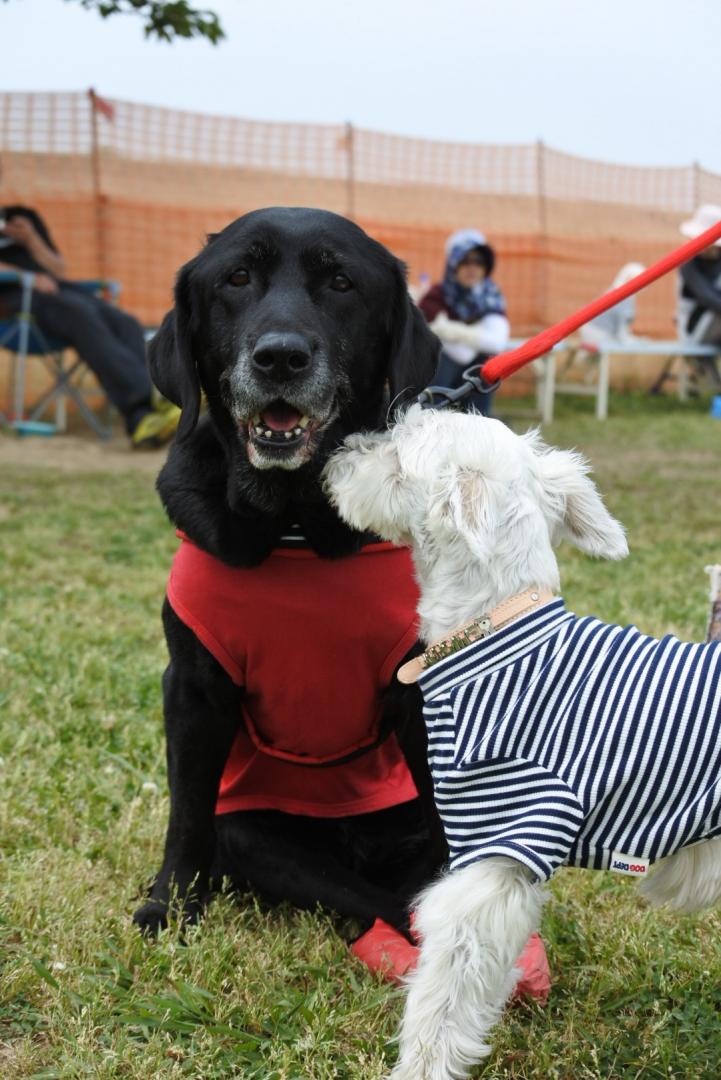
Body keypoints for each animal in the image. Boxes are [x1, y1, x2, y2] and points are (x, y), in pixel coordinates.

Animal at [131, 206, 442, 941]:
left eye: (341, 283)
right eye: (237, 278)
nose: (279, 356)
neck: (294, 526)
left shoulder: (417, 690)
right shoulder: (192, 688)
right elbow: (186, 815)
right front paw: (169, 906)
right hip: (251, 830)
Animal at [323, 406, 721, 1080]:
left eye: (398, 450)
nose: (339, 452)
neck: (491, 631)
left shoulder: (495, 858)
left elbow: (443, 995)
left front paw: (422, 1065)